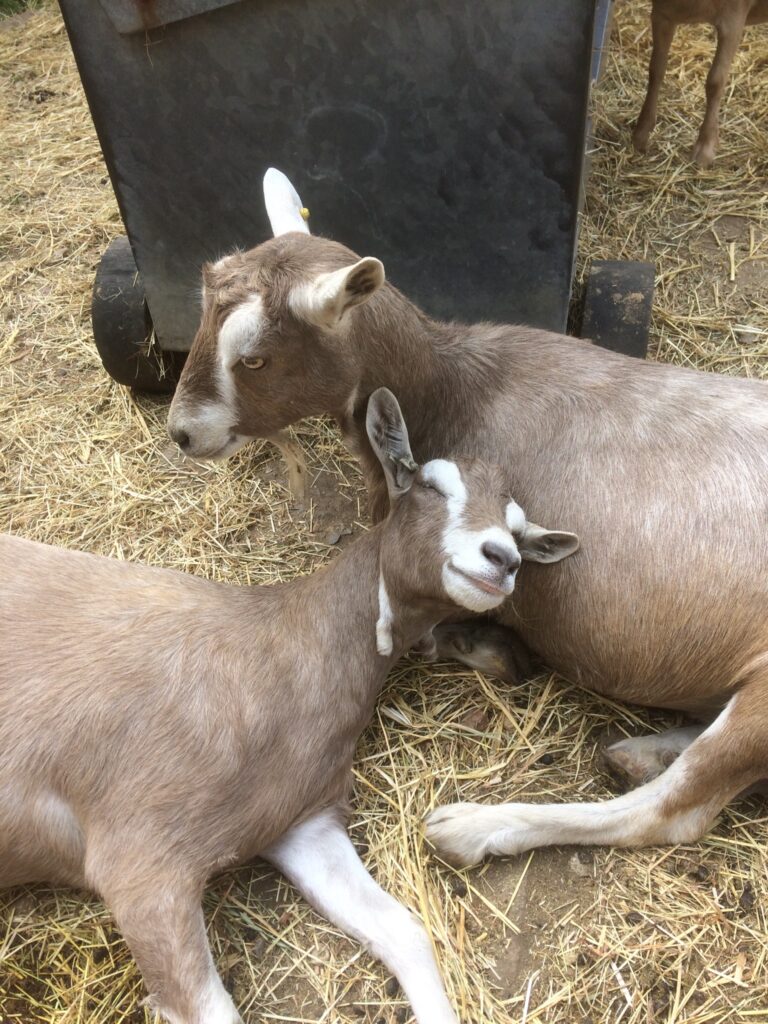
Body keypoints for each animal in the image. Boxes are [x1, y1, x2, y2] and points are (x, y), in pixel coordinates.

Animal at [0, 389, 577, 1024]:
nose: (501, 558)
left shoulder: (304, 823)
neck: (281, 647)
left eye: (519, 532)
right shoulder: (142, 863)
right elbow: (211, 1010)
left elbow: (405, 932)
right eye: (429, 484)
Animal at [167, 169, 768, 872]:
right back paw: (642, 752)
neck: (454, 387)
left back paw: (477, 824)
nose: (183, 432)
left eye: (255, 357)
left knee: (676, 810)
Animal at [630, 0, 768, 165]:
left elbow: (715, 81)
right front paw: (641, 134)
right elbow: (655, 70)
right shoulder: (661, 14)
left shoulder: (733, 20)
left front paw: (705, 148)